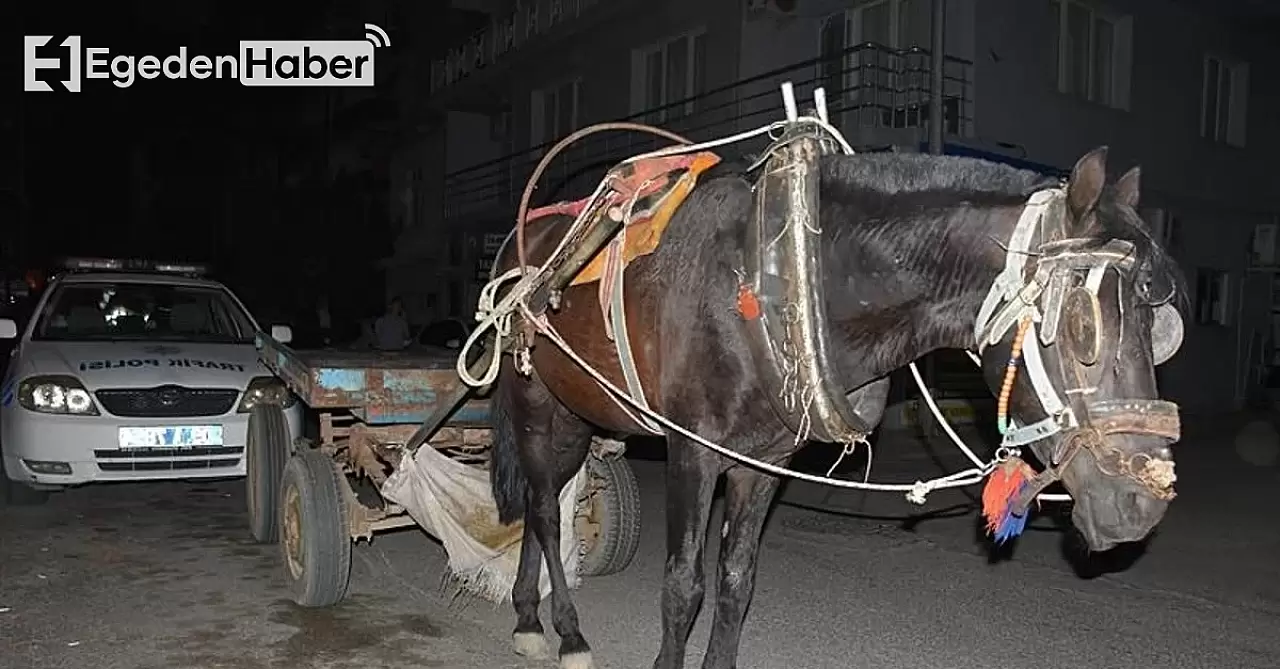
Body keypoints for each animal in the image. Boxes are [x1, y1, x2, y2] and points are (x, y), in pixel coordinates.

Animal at [486, 146, 1177, 669]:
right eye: (1084, 327)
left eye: (1162, 330)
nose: (1140, 503)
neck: (779, 279)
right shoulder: (692, 452)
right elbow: (683, 586)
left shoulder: (761, 463)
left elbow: (737, 582)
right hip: (535, 406)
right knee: (543, 510)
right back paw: (561, 630)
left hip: (578, 416)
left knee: (549, 502)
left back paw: (528, 613)